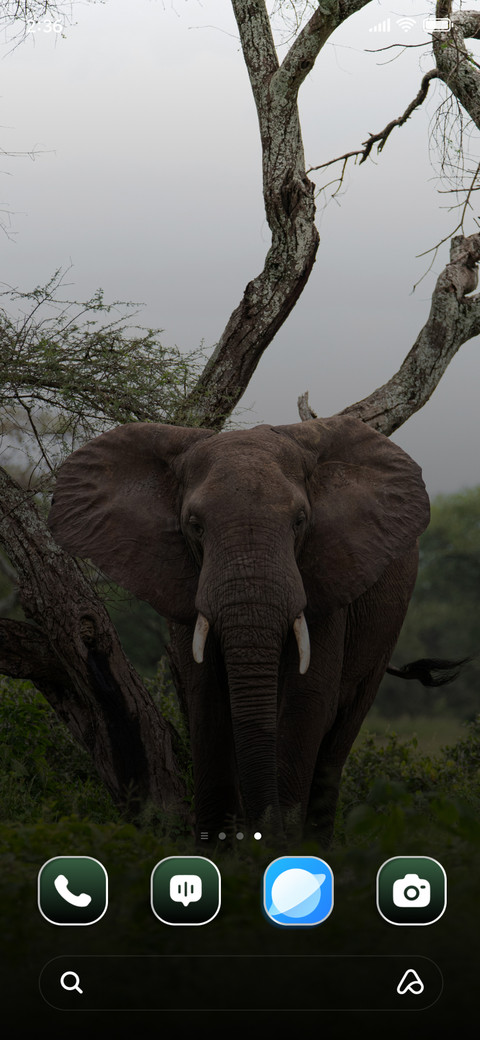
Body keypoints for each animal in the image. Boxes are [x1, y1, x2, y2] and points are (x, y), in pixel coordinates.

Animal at [48, 415, 431, 844]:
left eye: (300, 521)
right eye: (195, 526)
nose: (265, 835)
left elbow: (307, 700)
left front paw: (280, 849)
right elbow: (207, 697)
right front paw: (222, 849)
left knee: (341, 734)